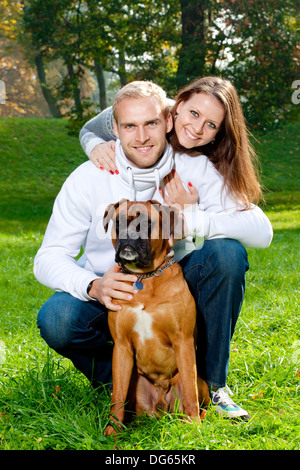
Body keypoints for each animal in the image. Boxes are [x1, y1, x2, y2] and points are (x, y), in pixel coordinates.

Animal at [102, 199, 209, 436]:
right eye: (118, 223)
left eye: (146, 224)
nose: (128, 236)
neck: (145, 278)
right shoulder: (121, 347)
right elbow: (117, 396)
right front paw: (113, 430)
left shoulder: (183, 341)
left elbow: (190, 392)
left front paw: (194, 426)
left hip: (201, 383)